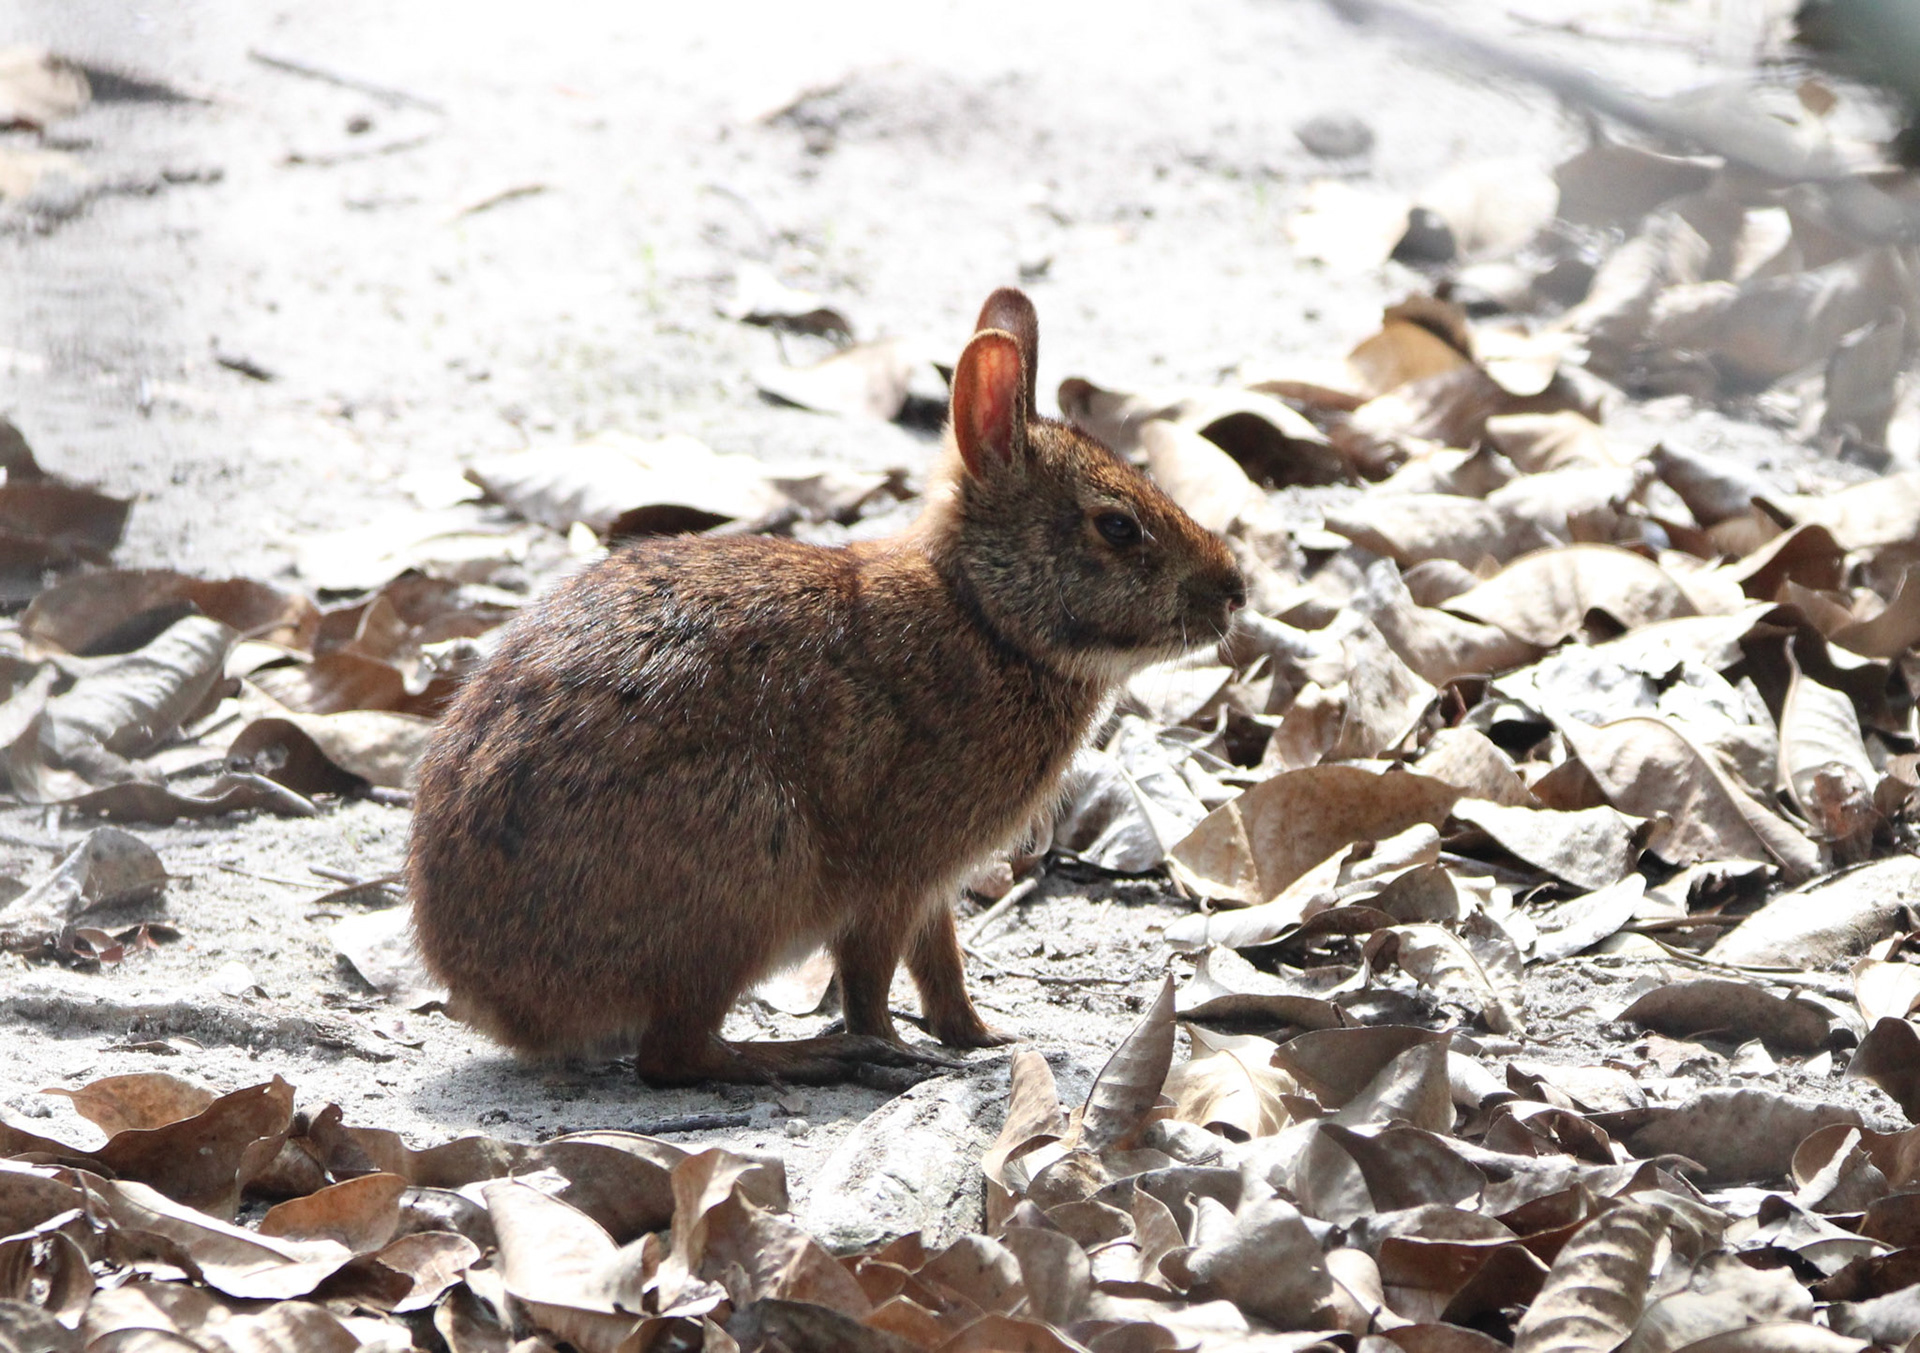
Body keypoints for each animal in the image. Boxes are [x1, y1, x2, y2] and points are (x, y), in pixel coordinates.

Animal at [407, 287, 1247, 1084]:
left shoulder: (932, 887)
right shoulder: (891, 879)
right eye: (1117, 526)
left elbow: (941, 968)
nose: (1235, 590)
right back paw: (814, 1056)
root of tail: (496, 995)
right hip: (749, 866)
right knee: (675, 1054)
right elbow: (871, 979)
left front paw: (984, 1036)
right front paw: (898, 1050)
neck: (983, 615)